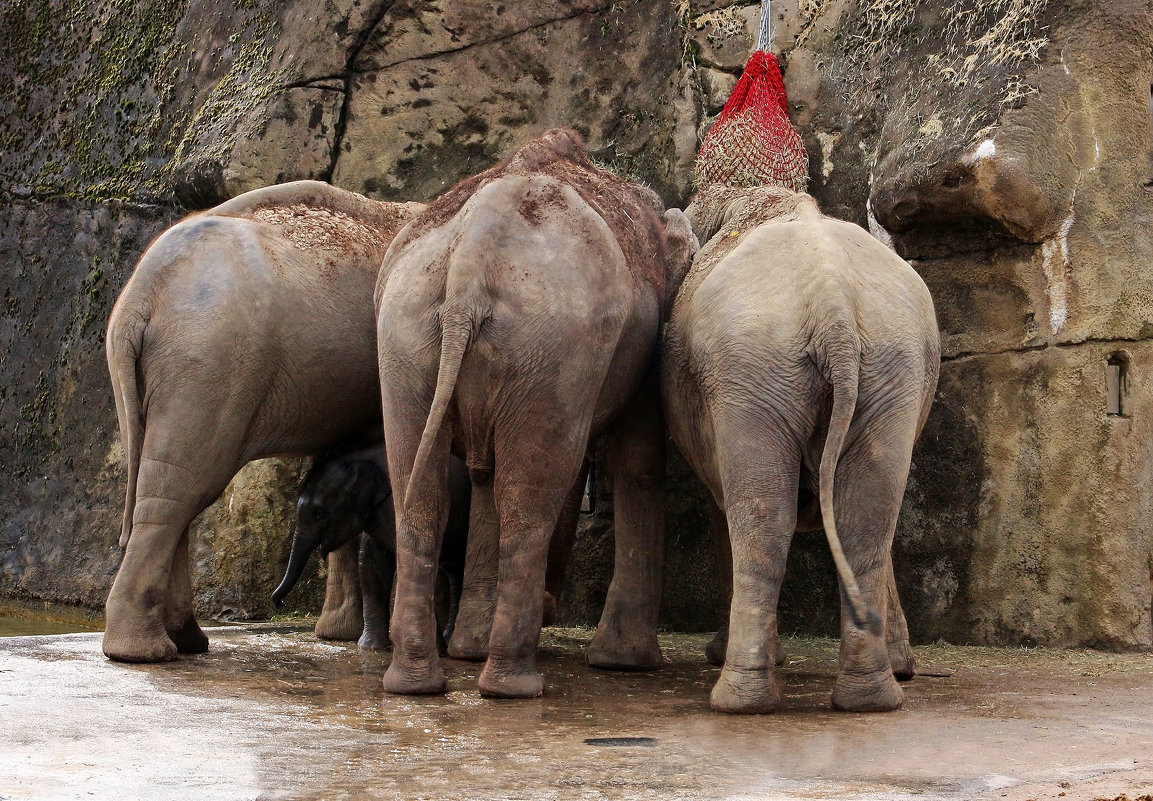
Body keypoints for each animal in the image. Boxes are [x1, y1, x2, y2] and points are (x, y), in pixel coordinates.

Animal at [101, 182, 426, 663]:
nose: (279, 603)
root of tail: (141, 295)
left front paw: (338, 636)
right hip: (212, 362)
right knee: (182, 490)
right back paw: (145, 652)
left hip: (159, 368)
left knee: (163, 486)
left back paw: (184, 641)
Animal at [378, 128, 696, 700]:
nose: (552, 603)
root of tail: (471, 254)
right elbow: (637, 462)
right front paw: (629, 664)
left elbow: (482, 475)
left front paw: (469, 649)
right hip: (553, 345)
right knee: (531, 494)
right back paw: (514, 686)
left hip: (409, 336)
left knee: (421, 490)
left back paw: (416, 683)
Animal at [664, 183, 940, 714]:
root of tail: (832, 305)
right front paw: (904, 667)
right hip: (890, 368)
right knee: (864, 519)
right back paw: (871, 698)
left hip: (753, 370)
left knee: (759, 521)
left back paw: (738, 700)